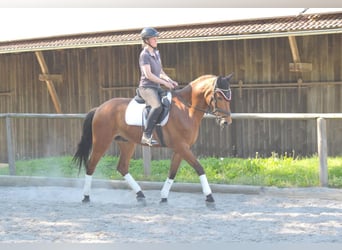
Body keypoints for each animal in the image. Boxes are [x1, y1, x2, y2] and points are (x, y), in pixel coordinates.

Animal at [72, 73, 232, 207]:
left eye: (229, 97)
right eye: (219, 97)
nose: (227, 122)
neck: (187, 110)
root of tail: (100, 108)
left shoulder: (180, 148)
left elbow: (172, 172)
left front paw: (164, 197)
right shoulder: (181, 147)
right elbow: (199, 168)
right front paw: (209, 197)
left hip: (126, 143)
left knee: (122, 167)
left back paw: (140, 195)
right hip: (102, 141)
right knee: (91, 165)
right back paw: (86, 197)